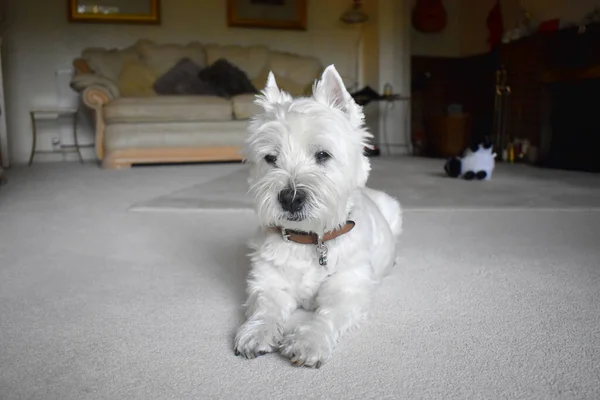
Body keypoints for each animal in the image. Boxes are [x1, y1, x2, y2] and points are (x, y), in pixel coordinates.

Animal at [234, 64, 404, 368]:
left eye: (323, 155)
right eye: (270, 158)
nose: (290, 198)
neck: (310, 239)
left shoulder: (348, 288)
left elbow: (327, 316)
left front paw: (308, 341)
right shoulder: (268, 283)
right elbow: (264, 307)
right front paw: (256, 333)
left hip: (394, 211)